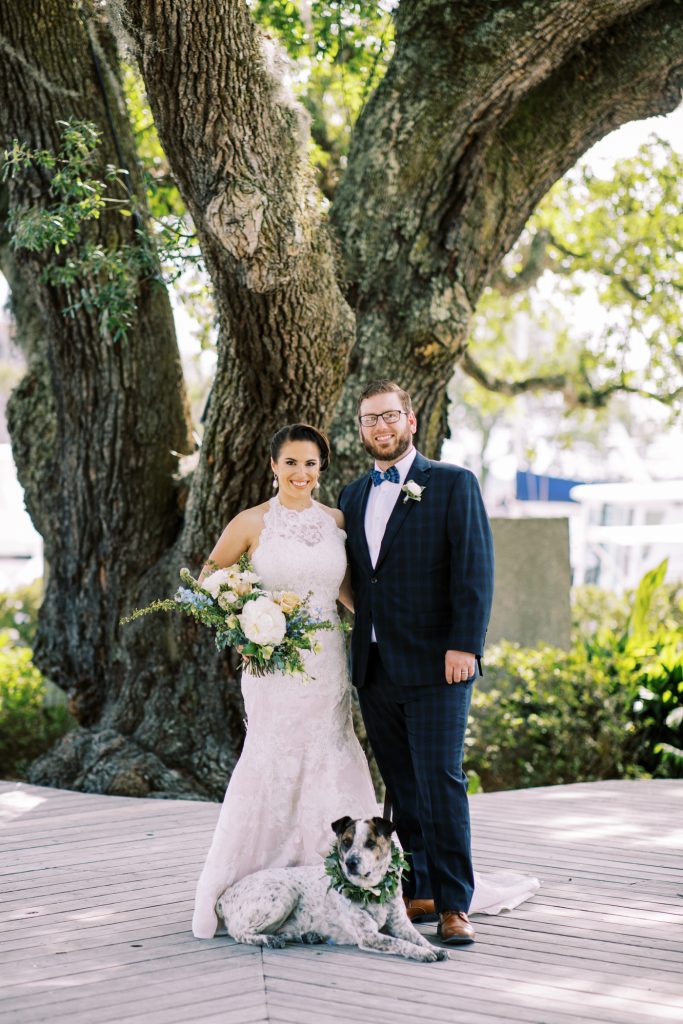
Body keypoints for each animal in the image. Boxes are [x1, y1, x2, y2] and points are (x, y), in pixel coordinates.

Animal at [219, 815, 450, 958]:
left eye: (370, 843)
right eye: (346, 842)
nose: (350, 863)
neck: (373, 890)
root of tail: (224, 896)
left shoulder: (401, 925)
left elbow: (418, 938)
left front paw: (434, 948)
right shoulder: (369, 935)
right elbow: (401, 943)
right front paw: (423, 953)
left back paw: (305, 936)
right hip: (284, 895)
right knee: (241, 933)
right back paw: (268, 939)